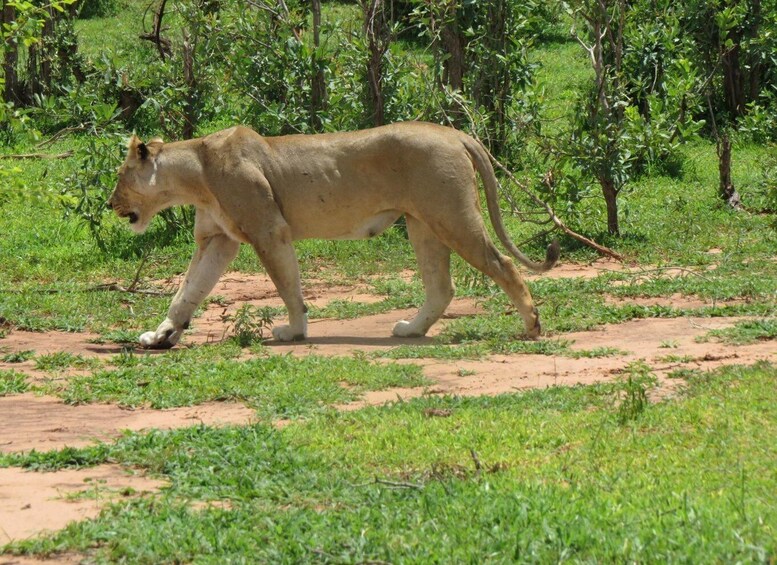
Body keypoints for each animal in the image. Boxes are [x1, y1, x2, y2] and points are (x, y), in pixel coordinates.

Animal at [108, 122, 559, 349]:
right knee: (442, 287)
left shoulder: (269, 229)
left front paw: (294, 332)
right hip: (423, 223)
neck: (195, 175)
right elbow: (187, 291)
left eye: (120, 176)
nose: (110, 204)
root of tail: (454, 132)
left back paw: (532, 325)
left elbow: (288, 287)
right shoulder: (219, 240)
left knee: (503, 264)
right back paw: (411, 330)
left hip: (452, 215)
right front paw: (162, 335)